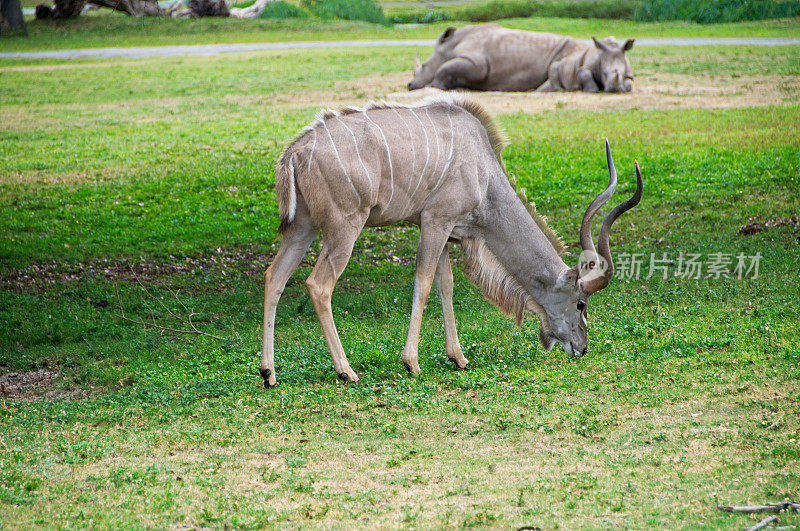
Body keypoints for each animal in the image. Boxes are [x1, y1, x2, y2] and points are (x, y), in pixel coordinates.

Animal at [260, 94, 640, 386]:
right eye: (581, 304)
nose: (582, 347)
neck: (483, 173)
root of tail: (295, 152)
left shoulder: (444, 231)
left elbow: (447, 284)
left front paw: (458, 357)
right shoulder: (435, 222)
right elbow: (424, 282)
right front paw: (411, 362)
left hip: (303, 228)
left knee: (274, 276)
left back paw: (269, 374)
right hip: (344, 227)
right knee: (318, 284)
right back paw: (346, 371)